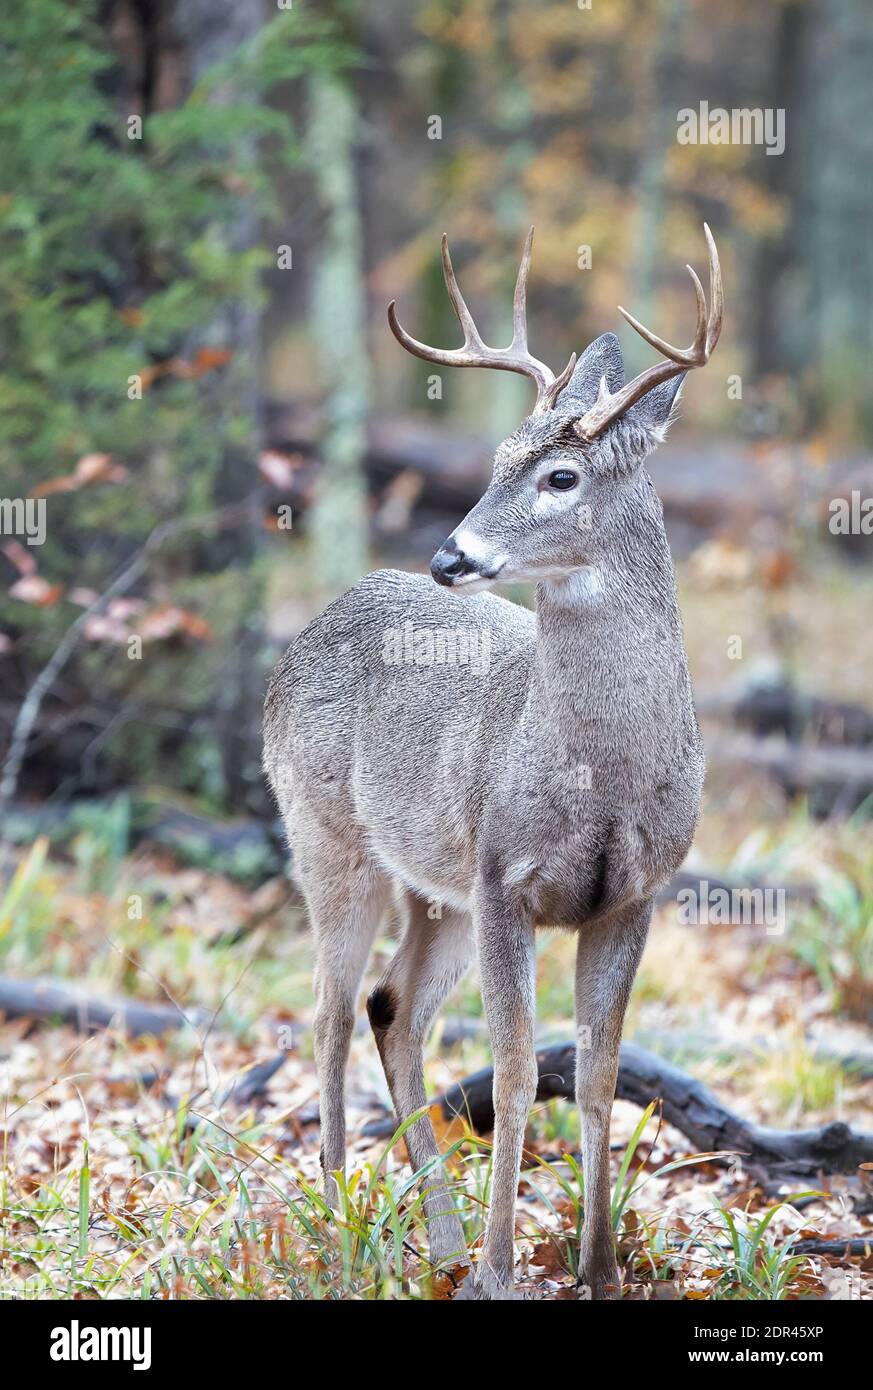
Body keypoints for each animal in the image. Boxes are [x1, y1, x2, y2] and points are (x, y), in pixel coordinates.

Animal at [263, 224, 723, 1300]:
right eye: (499, 455)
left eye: (560, 478)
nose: (450, 557)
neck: (601, 779)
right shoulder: (505, 875)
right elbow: (516, 1068)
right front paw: (504, 1267)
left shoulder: (634, 892)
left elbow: (596, 1072)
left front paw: (597, 1269)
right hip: (329, 837)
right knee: (329, 1009)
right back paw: (341, 1228)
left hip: (437, 887)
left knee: (392, 1008)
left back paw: (433, 1242)